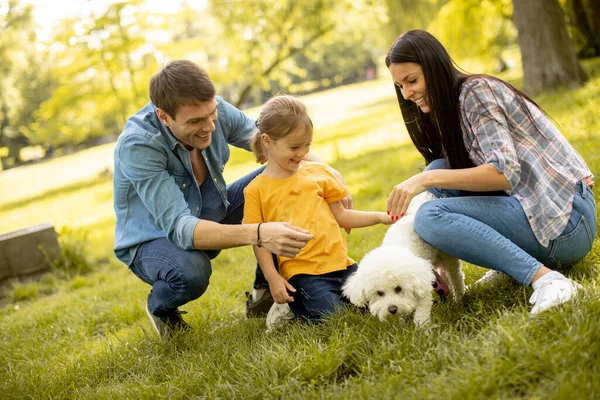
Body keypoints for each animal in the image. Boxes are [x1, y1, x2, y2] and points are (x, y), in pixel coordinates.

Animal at [342, 192, 464, 326]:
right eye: (379, 293)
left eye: (398, 288)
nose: (392, 309)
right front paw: (400, 324)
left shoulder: (422, 286)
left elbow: (422, 310)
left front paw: (422, 327)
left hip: (448, 257)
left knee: (456, 276)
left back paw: (459, 297)